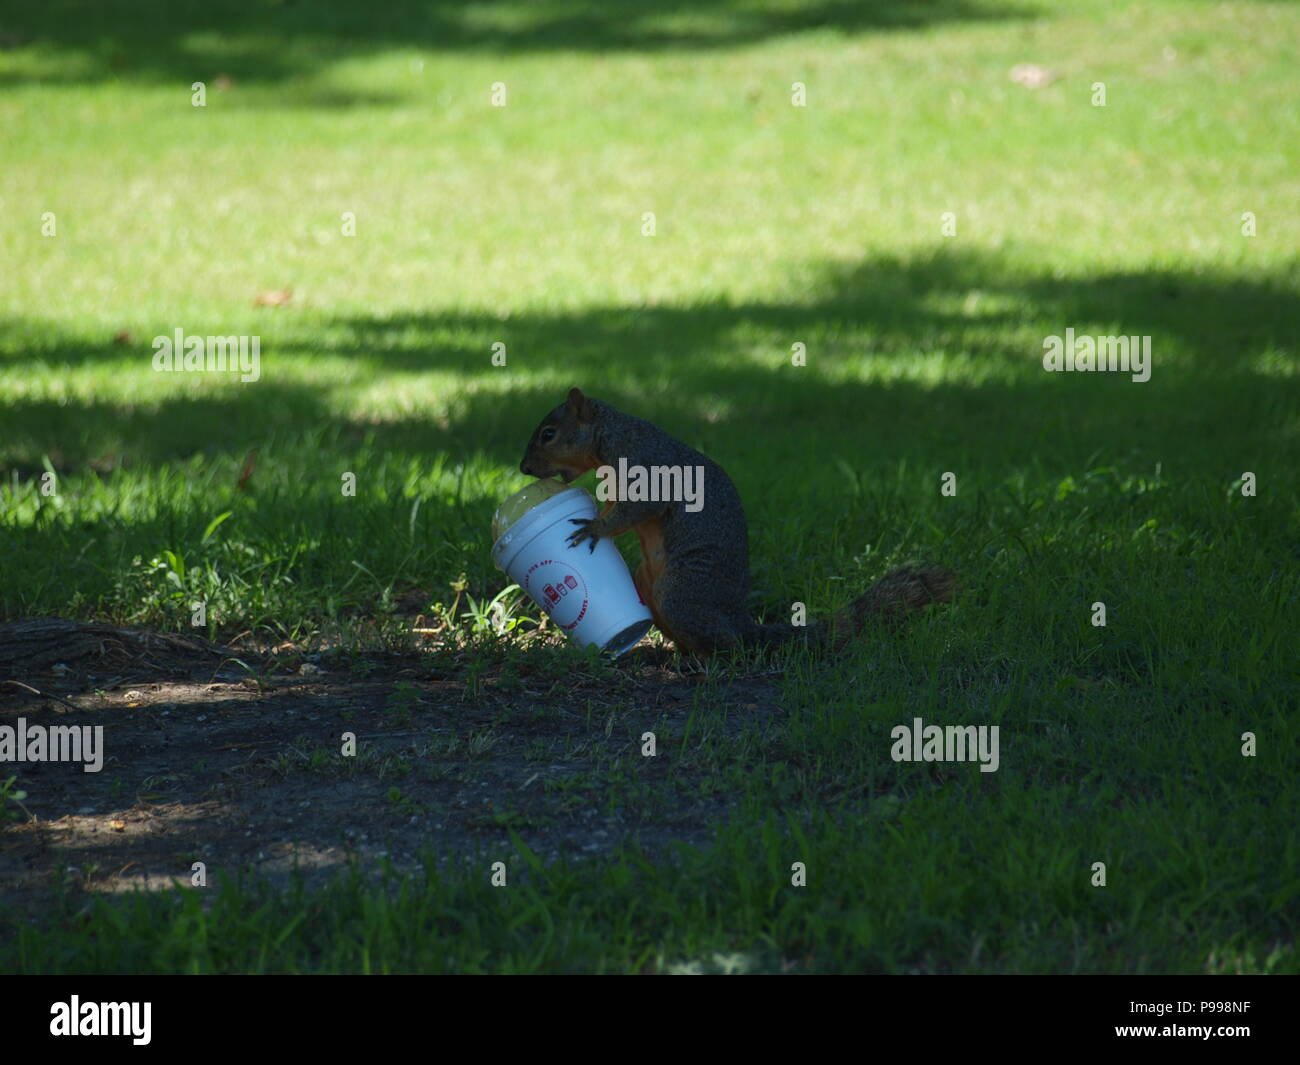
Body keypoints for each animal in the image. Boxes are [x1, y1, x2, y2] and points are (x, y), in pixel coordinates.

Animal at [519, 388, 954, 655]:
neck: (611, 436)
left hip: (682, 591)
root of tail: (740, 619)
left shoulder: (647, 467)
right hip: (649, 581)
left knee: (731, 646)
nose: (523, 468)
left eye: (549, 434)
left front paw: (594, 528)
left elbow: (641, 508)